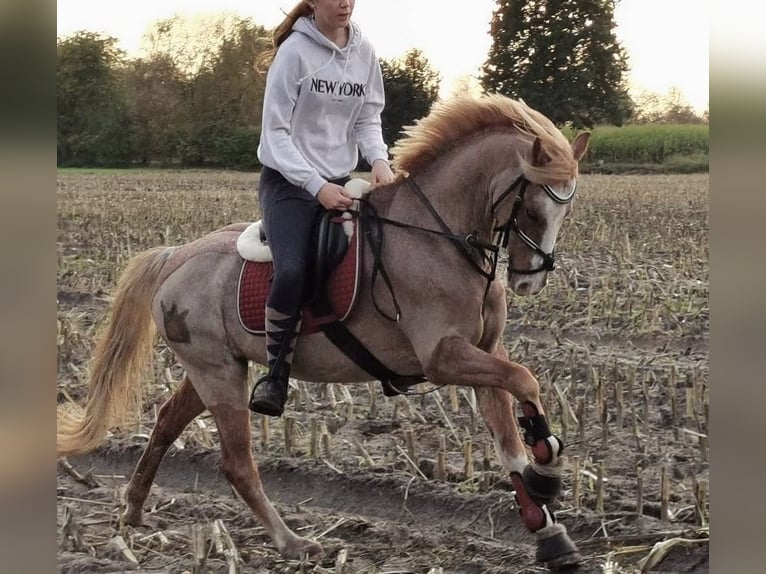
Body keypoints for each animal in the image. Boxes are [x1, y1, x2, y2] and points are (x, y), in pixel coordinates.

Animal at [57, 94, 590, 570]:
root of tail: (176, 257)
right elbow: (526, 380)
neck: (440, 238)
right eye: (534, 209)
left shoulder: (483, 351)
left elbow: (509, 438)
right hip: (219, 375)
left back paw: (132, 509)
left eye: (567, 210)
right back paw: (292, 543)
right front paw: (547, 468)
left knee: (167, 423)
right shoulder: (443, 357)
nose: (530, 279)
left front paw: (549, 529)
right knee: (237, 463)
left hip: (215, 368)